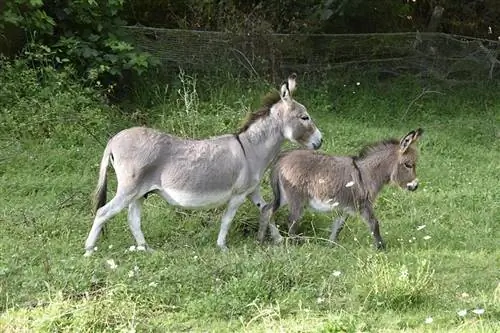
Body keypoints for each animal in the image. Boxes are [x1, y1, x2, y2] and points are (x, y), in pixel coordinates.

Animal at [260, 128, 424, 248]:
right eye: (408, 165)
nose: (415, 186)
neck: (366, 173)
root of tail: (282, 159)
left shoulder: (345, 207)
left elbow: (338, 227)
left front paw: (331, 246)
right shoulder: (364, 205)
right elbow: (374, 224)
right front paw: (381, 247)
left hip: (283, 197)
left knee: (267, 210)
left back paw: (265, 240)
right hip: (296, 200)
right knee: (291, 222)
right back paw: (293, 245)